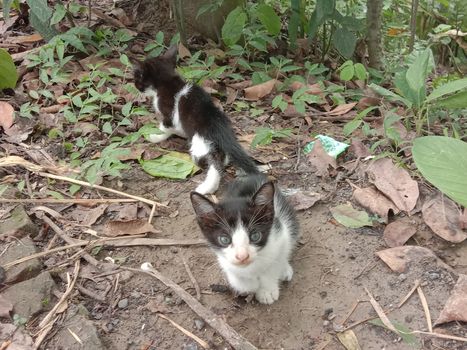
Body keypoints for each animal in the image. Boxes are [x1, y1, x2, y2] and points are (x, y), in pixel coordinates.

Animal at [133, 46, 260, 194]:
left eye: (137, 77)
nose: (136, 86)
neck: (167, 81)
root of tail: (218, 124)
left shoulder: (168, 113)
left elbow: (165, 127)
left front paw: (154, 136)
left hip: (200, 142)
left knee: (214, 162)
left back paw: (206, 186)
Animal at [190, 175, 300, 304]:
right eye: (224, 240)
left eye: (255, 236)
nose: (242, 256)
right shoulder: (223, 259)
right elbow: (236, 276)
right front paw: (250, 285)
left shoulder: (280, 234)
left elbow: (273, 265)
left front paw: (267, 290)